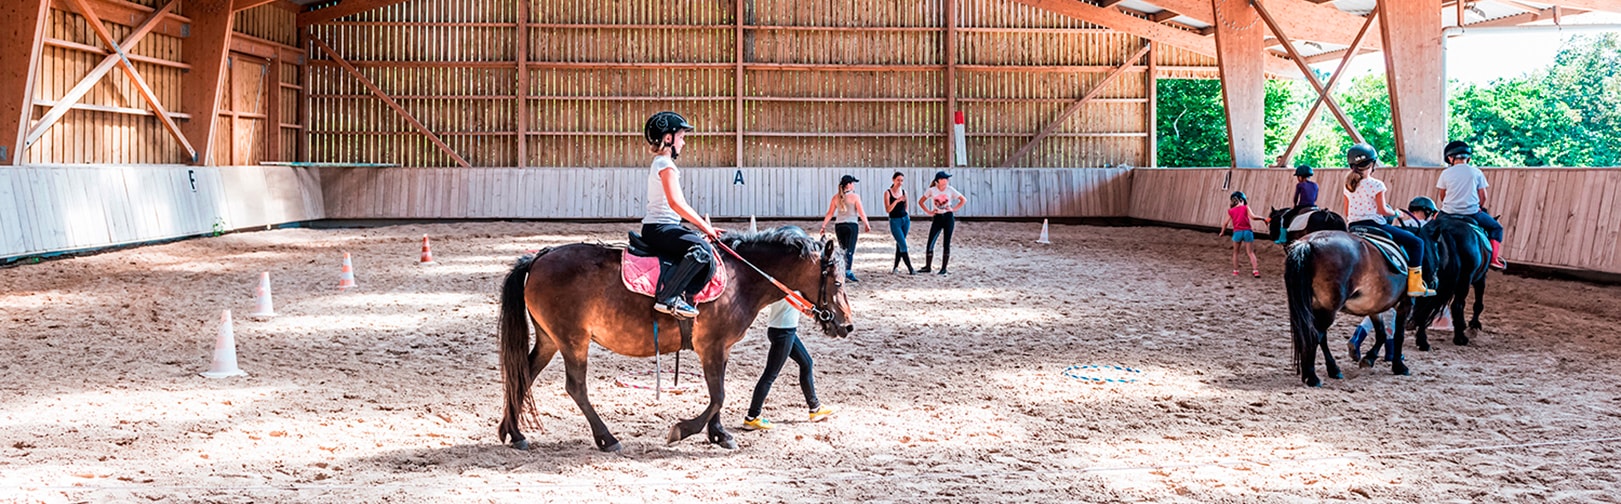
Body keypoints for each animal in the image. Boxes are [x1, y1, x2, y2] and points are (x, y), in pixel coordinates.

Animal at [492, 226, 855, 453]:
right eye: (837, 282)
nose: (846, 325)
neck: (742, 277)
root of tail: (539, 257)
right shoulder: (711, 346)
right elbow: (719, 395)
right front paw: (684, 430)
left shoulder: (719, 349)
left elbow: (718, 392)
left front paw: (719, 434)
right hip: (573, 341)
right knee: (576, 387)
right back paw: (607, 439)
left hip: (550, 340)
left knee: (522, 375)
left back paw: (514, 432)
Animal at [1283, 231, 1413, 388]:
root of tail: (1309, 243)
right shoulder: (1404, 305)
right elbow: (1399, 335)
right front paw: (1399, 366)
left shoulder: (1374, 307)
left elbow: (1381, 333)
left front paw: (1369, 358)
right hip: (1328, 309)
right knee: (1315, 336)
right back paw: (1313, 377)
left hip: (1316, 307)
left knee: (1317, 336)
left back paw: (1332, 370)